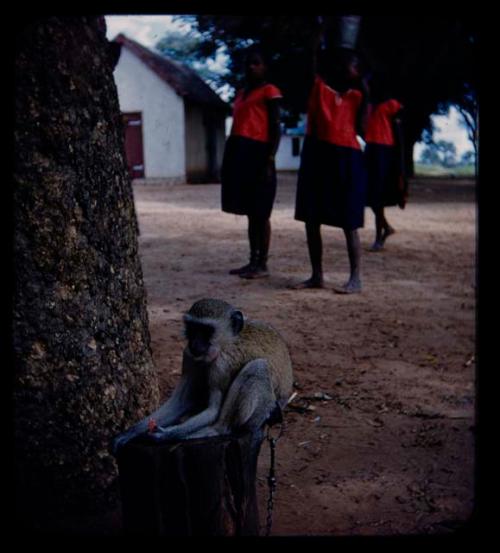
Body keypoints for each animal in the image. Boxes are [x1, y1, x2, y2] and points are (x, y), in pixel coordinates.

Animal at [112, 298, 292, 452]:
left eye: (206, 331)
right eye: (193, 328)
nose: (194, 343)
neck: (226, 343)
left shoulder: (221, 366)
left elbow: (213, 410)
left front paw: (167, 435)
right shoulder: (189, 356)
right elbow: (181, 401)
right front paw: (131, 432)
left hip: (264, 410)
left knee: (257, 367)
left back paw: (215, 430)